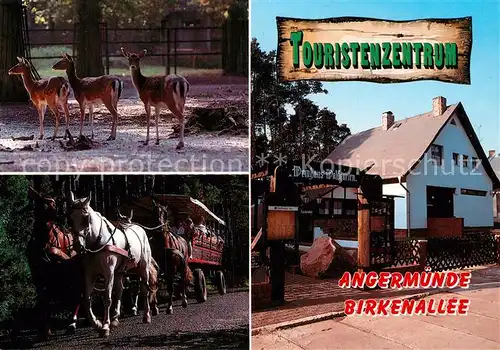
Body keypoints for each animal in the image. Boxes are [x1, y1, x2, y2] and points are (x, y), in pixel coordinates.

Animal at [27, 189, 83, 340]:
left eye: (54, 201)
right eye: (42, 202)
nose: (62, 214)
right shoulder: (38, 277)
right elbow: (44, 302)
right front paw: (45, 330)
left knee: (78, 295)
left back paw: (72, 323)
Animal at [66, 193, 156, 338]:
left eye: (86, 218)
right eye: (69, 219)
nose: (77, 246)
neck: (97, 243)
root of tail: (140, 229)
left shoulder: (108, 272)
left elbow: (107, 298)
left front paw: (105, 326)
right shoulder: (89, 273)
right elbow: (86, 300)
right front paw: (97, 323)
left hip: (143, 267)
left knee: (144, 289)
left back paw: (146, 315)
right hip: (120, 272)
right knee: (120, 290)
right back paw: (115, 319)